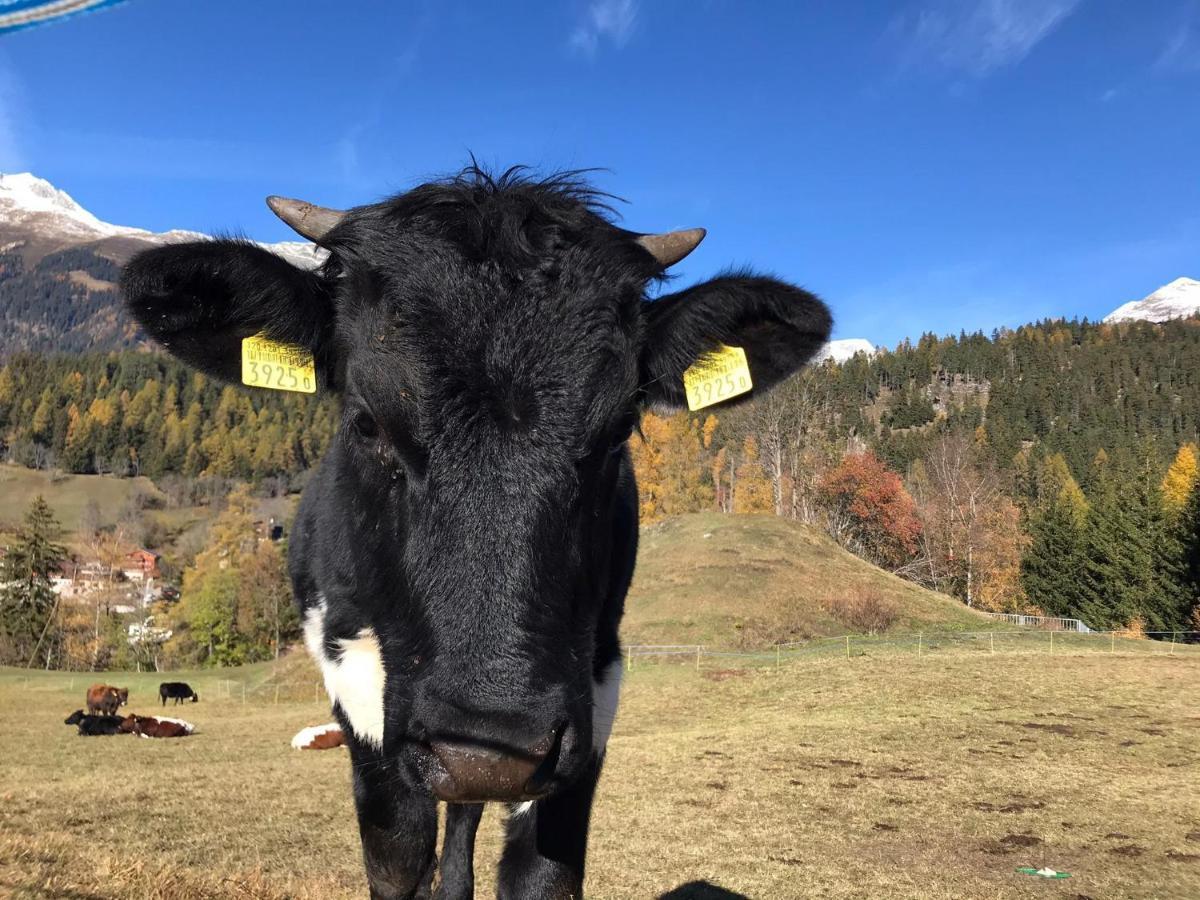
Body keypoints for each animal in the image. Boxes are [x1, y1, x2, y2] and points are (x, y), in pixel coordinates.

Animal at [121, 165, 835, 897]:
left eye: (618, 431)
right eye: (366, 423)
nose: (487, 751)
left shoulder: (588, 701)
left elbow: (540, 873)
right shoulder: (364, 707)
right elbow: (398, 859)